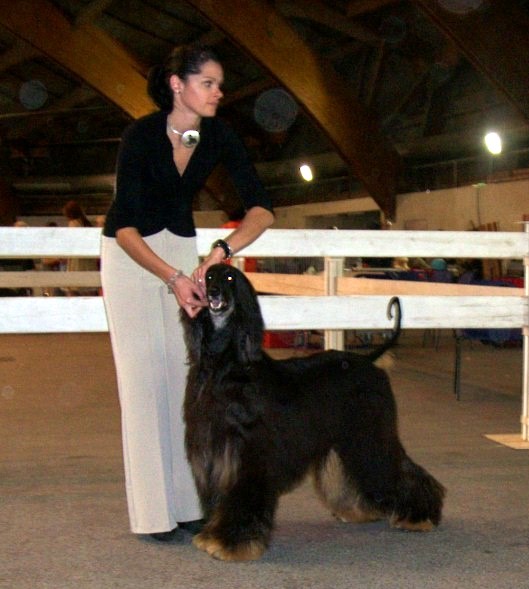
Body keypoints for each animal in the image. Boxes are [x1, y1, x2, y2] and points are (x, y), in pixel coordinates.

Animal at [181, 263, 445, 561]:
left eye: (229, 278)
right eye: (208, 277)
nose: (214, 293)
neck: (225, 365)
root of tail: (369, 360)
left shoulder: (247, 452)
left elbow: (243, 493)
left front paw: (232, 542)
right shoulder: (213, 449)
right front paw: (213, 535)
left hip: (370, 433)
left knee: (394, 468)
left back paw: (419, 515)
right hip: (347, 436)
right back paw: (359, 510)